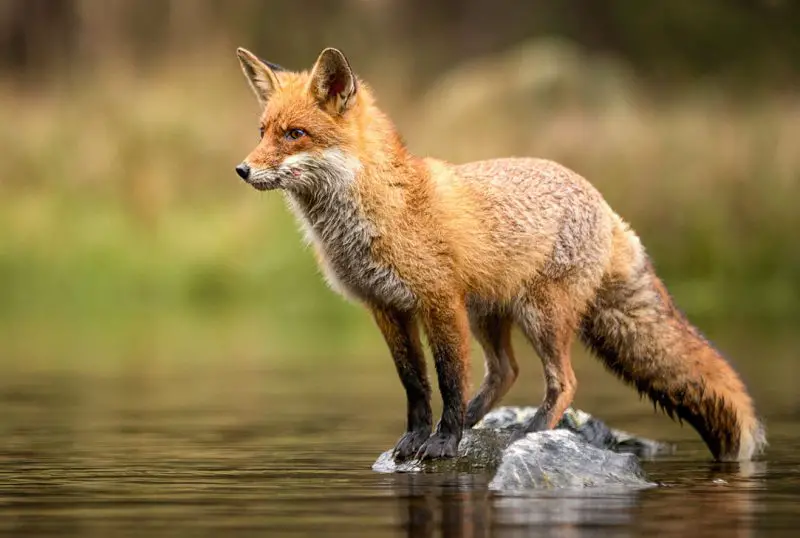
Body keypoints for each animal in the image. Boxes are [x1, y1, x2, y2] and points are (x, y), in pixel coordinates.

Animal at [233, 46, 766, 462]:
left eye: (295, 134)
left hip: (539, 315)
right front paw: (415, 439)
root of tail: (606, 205)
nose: (242, 169)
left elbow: (448, 378)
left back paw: (531, 432)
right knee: (506, 371)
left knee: (564, 381)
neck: (381, 211)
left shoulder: (439, 301)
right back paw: (480, 421)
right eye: (262, 131)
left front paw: (443, 443)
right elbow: (415, 384)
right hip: (490, 314)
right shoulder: (386, 307)